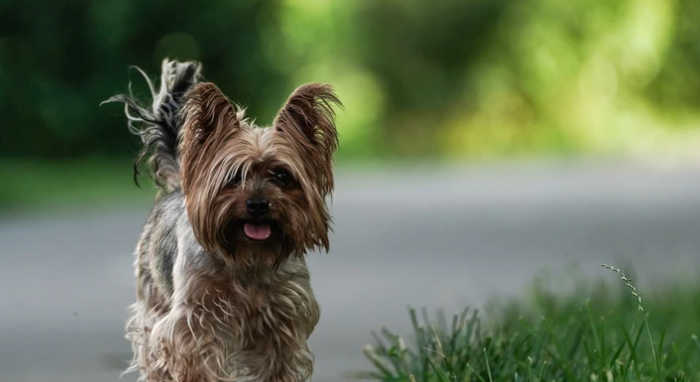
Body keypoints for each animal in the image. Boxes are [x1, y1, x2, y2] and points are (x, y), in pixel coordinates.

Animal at [104, 58, 342, 380]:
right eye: (233, 177)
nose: (257, 204)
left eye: (282, 176)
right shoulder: (194, 323)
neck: (249, 258)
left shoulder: (284, 320)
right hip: (152, 299)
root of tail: (179, 187)